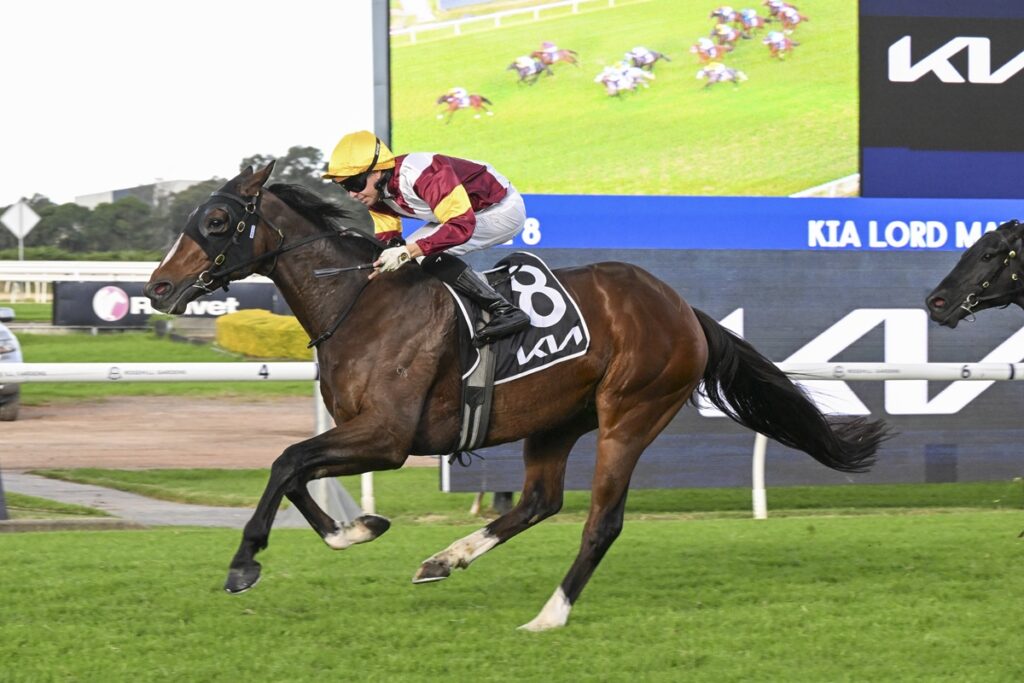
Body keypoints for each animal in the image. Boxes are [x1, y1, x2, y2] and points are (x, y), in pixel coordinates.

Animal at [145, 164, 889, 631]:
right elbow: (295, 468)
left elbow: (285, 462)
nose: (157, 286)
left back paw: (548, 615)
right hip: (556, 419)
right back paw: (445, 559)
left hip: (631, 412)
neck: (360, 302)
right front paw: (355, 529)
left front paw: (245, 563)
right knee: (538, 501)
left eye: (218, 219)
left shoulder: (387, 436)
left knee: (600, 521)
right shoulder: (362, 430)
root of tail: (683, 309)